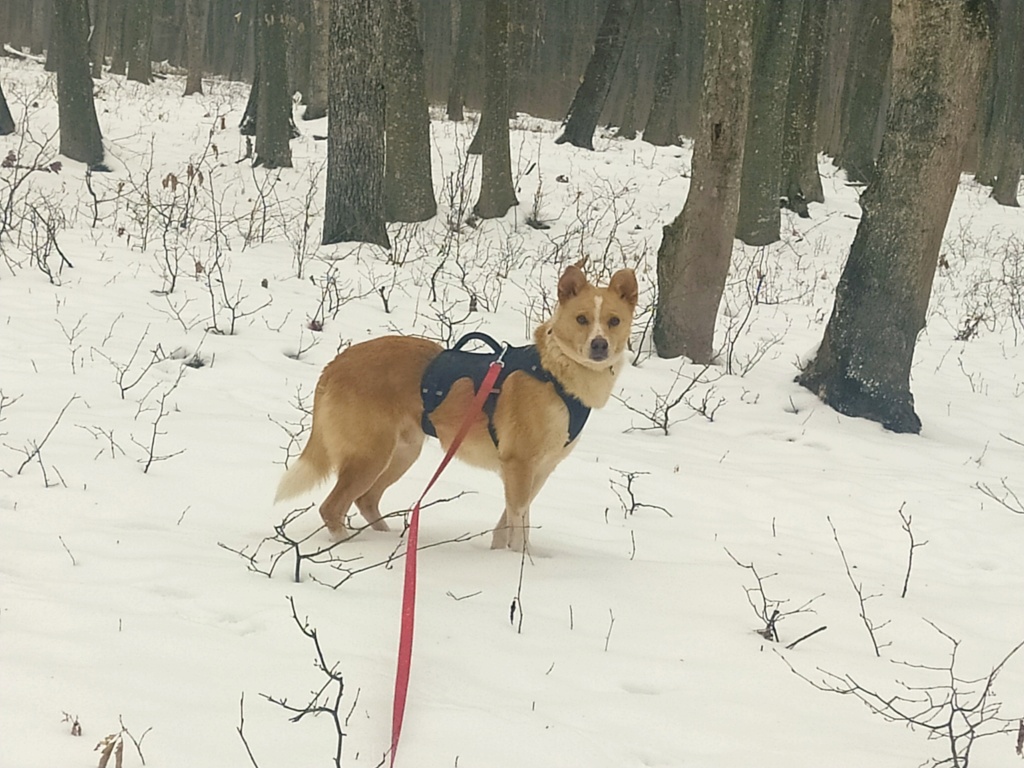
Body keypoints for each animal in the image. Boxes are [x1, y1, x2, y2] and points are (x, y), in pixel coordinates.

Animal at [276, 266, 634, 552]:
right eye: (582, 319)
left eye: (614, 321)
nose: (599, 345)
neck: (553, 373)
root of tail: (335, 364)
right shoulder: (519, 465)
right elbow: (518, 523)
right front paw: (520, 566)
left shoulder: (539, 469)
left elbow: (510, 520)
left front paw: (499, 555)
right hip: (370, 454)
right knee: (332, 507)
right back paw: (354, 545)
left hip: (403, 452)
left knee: (366, 500)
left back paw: (388, 539)